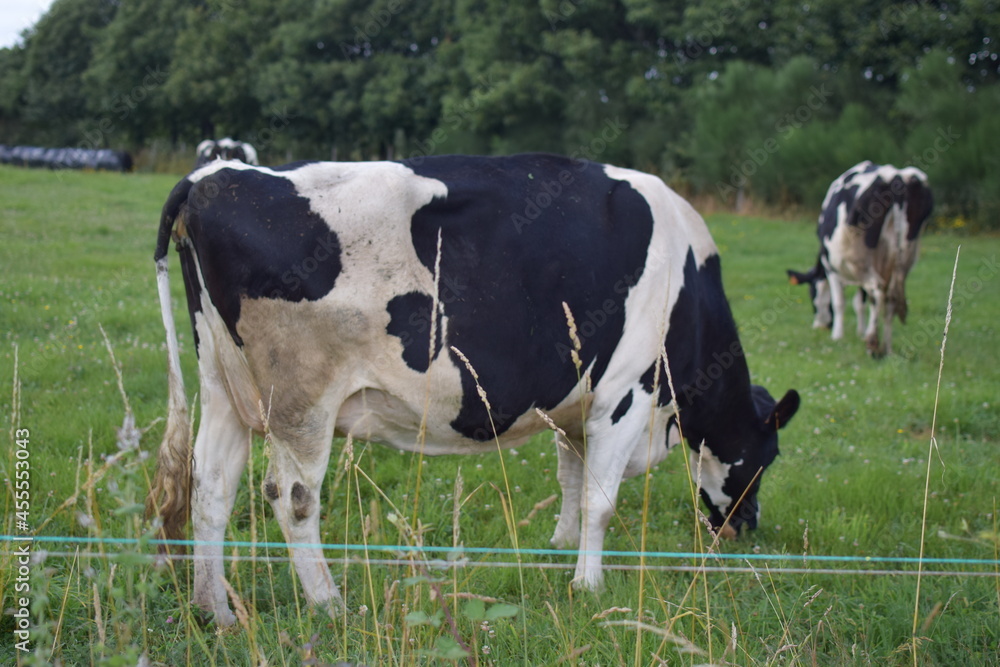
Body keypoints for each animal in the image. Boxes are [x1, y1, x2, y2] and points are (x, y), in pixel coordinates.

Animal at [146, 155, 796, 628]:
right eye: (765, 459)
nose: (745, 527)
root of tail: (214, 175)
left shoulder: (576, 406)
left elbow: (571, 478)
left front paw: (558, 549)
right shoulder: (626, 393)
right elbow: (599, 501)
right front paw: (588, 586)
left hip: (224, 387)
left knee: (212, 486)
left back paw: (216, 609)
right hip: (299, 400)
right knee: (292, 498)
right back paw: (330, 605)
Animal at [788, 161, 936, 358]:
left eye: (812, 294)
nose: (820, 327)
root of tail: (896, 177)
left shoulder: (832, 268)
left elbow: (840, 302)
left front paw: (837, 335)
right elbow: (861, 302)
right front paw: (860, 331)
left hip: (862, 261)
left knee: (878, 291)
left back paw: (872, 344)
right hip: (905, 256)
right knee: (890, 298)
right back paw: (886, 347)